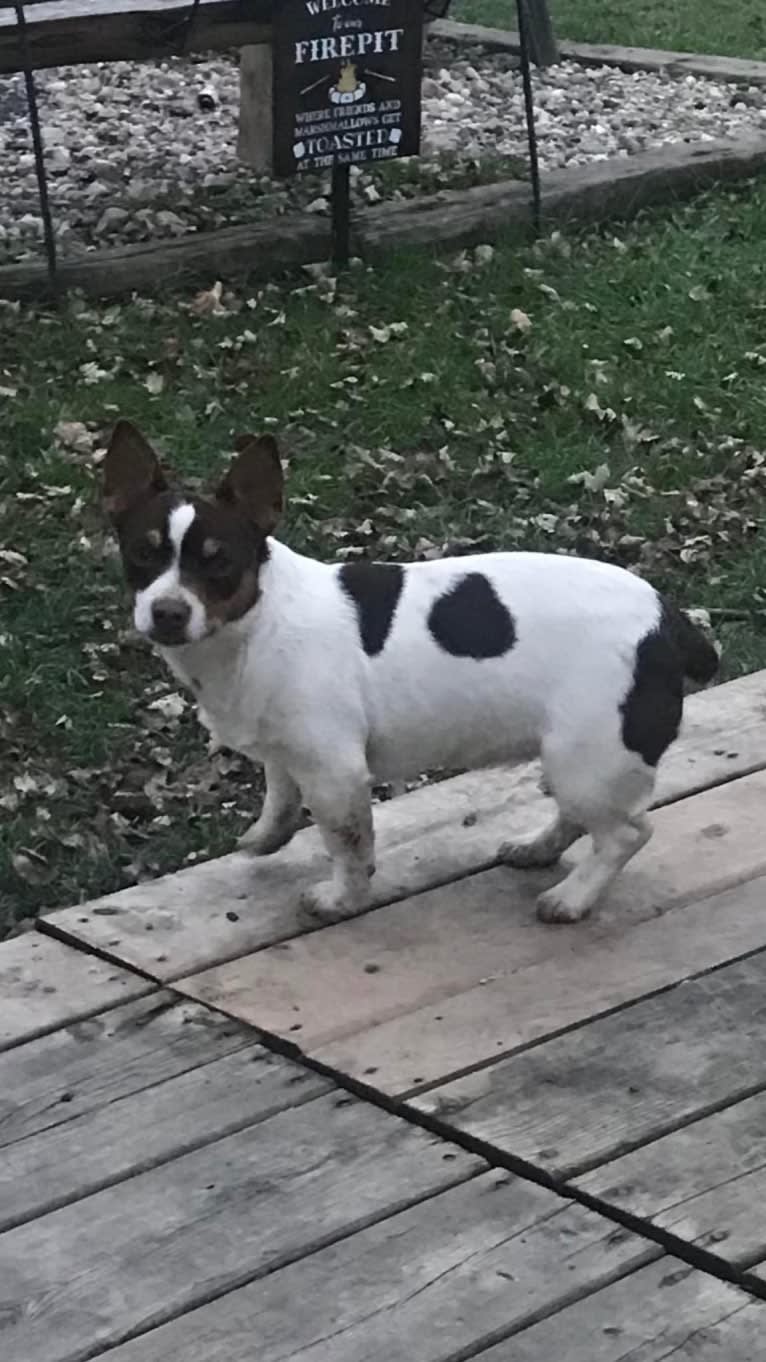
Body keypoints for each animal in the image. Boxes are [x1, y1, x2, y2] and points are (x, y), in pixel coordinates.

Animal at [104, 416, 719, 926]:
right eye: (142, 554)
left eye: (220, 563)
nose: (167, 612)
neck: (255, 621)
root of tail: (668, 621)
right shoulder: (286, 752)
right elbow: (280, 799)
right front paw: (265, 837)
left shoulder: (336, 774)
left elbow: (350, 844)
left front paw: (342, 899)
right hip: (576, 759)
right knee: (582, 818)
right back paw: (538, 848)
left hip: (589, 756)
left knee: (626, 834)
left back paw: (574, 898)